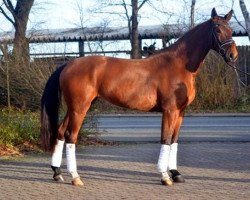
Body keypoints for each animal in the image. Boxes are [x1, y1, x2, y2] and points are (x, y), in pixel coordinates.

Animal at [41, 7, 238, 186]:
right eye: (218, 30)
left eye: (231, 30)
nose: (233, 55)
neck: (178, 65)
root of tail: (68, 64)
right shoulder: (169, 111)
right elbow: (165, 139)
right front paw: (165, 176)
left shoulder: (181, 112)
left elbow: (174, 141)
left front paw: (176, 173)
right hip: (80, 108)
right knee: (70, 136)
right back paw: (75, 177)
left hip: (75, 108)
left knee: (60, 132)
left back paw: (57, 172)